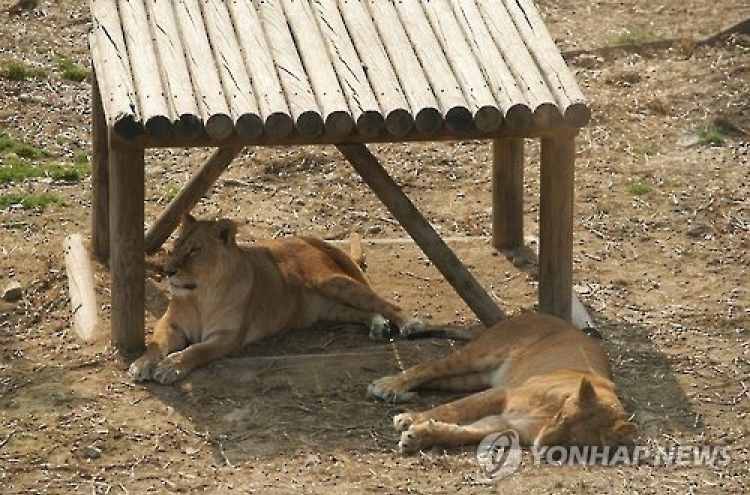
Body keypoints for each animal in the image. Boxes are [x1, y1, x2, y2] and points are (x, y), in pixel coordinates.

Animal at [130, 215, 424, 386]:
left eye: (194, 251)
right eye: (175, 246)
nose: (167, 270)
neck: (201, 296)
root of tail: (308, 240)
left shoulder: (227, 338)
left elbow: (195, 351)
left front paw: (170, 367)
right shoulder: (171, 324)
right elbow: (156, 344)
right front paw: (143, 364)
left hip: (333, 283)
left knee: (382, 302)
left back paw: (410, 323)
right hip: (326, 307)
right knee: (360, 311)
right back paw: (378, 326)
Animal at [368, 316, 636, 456]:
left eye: (573, 440)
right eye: (563, 417)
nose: (540, 446)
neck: (548, 414)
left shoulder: (507, 424)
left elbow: (461, 433)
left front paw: (418, 436)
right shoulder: (503, 392)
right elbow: (455, 409)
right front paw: (409, 420)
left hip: (472, 378)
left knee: (437, 380)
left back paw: (398, 393)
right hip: (480, 355)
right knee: (428, 367)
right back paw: (389, 386)